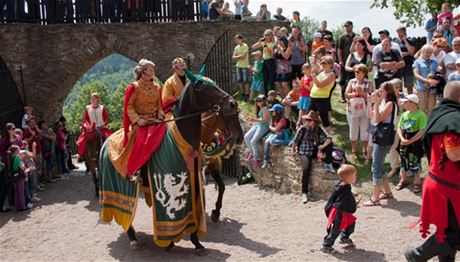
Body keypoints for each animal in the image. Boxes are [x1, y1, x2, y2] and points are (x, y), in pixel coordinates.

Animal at [98, 68, 244, 255]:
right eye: (204, 87)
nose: (232, 103)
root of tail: (107, 141)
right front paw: (170, 241)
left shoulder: (198, 176)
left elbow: (212, 194)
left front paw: (198, 239)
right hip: (118, 187)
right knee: (126, 210)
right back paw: (133, 238)